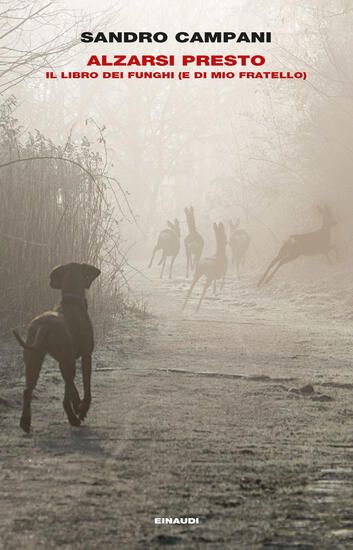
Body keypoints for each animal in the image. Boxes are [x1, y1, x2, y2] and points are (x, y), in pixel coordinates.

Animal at [12, 264, 100, 436]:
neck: (71, 300)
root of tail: (44, 325)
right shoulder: (86, 356)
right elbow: (85, 387)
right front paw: (82, 409)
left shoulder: (63, 360)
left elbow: (71, 386)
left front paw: (77, 404)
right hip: (65, 360)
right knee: (64, 399)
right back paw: (73, 419)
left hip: (33, 360)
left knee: (27, 391)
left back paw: (25, 422)